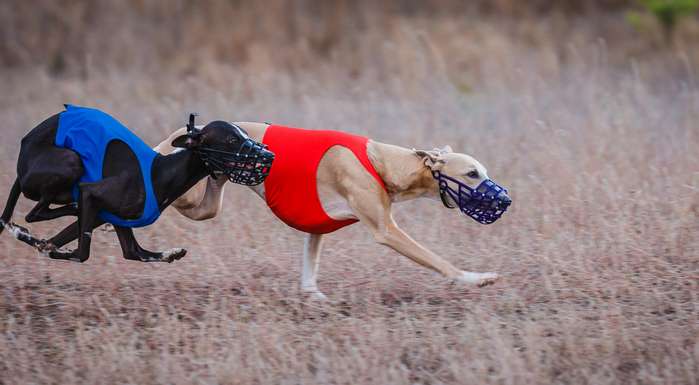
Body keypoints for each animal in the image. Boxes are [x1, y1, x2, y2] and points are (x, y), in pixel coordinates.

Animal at [0, 106, 274, 262]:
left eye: (244, 134)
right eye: (231, 139)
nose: (269, 155)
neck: (160, 170)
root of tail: (22, 160)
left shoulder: (112, 217)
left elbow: (135, 253)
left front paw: (172, 254)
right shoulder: (92, 196)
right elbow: (80, 253)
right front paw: (49, 247)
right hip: (71, 161)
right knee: (35, 214)